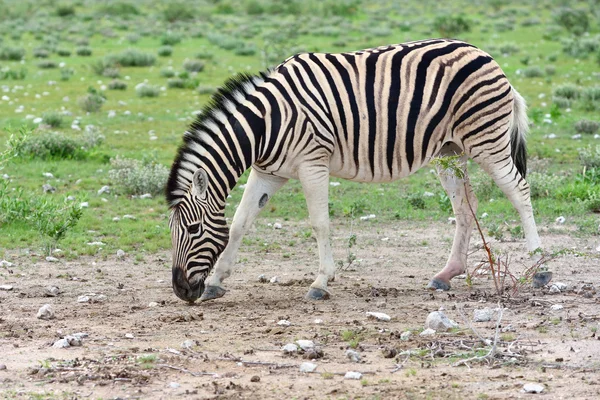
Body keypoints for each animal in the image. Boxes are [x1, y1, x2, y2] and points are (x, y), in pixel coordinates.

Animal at [166, 39, 540, 304]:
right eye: (173, 230)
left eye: (194, 229)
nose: (181, 290)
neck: (265, 125)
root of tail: (484, 53)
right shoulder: (269, 172)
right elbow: (240, 223)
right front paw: (216, 282)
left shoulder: (313, 163)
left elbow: (319, 224)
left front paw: (320, 282)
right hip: (450, 150)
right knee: (466, 205)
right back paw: (446, 274)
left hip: (486, 140)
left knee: (518, 191)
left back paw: (539, 269)